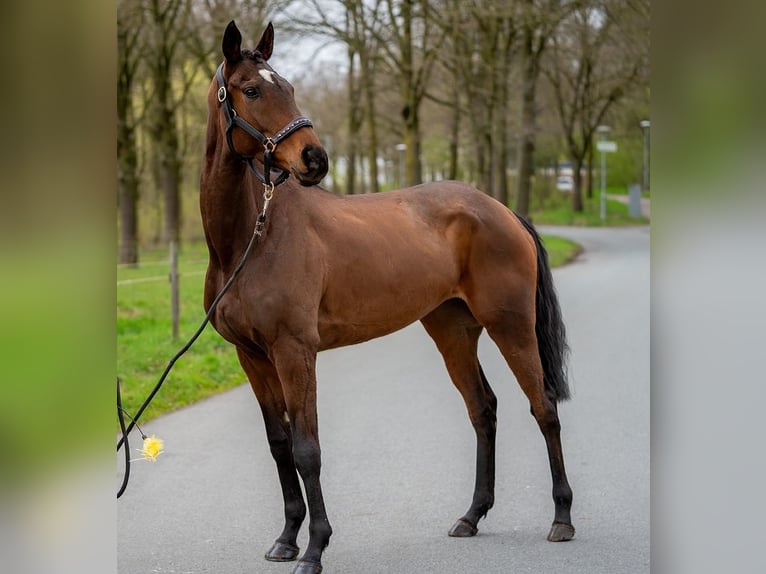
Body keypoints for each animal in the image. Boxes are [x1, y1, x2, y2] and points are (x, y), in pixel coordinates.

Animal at [200, 20, 575, 574]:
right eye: (252, 90)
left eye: (288, 86)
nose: (315, 159)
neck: (252, 238)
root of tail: (500, 209)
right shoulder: (252, 356)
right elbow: (280, 444)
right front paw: (286, 539)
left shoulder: (294, 351)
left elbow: (308, 449)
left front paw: (314, 549)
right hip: (453, 329)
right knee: (482, 408)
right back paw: (471, 516)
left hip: (510, 324)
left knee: (543, 406)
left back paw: (562, 519)